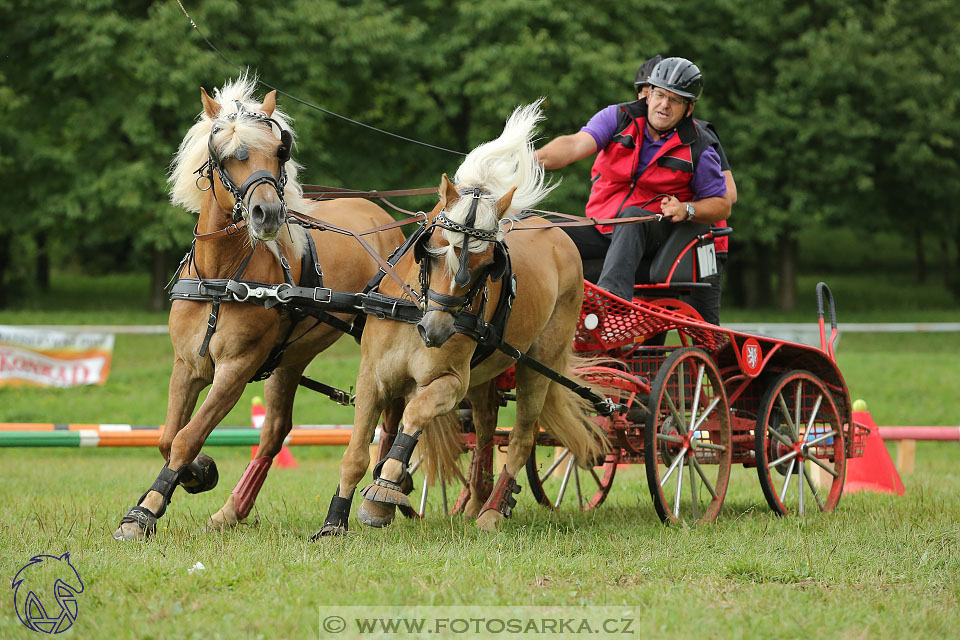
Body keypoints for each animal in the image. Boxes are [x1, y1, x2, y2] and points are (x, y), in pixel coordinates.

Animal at [114, 77, 404, 544]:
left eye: (279, 151)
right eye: (226, 155)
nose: (266, 213)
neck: (221, 276)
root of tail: (380, 214)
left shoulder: (236, 368)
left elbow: (187, 437)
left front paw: (144, 512)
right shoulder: (187, 365)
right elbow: (168, 438)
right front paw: (197, 474)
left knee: (393, 411)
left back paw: (384, 488)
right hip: (290, 358)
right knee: (274, 432)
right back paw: (231, 511)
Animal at [318, 104, 612, 536]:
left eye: (488, 265)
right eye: (433, 249)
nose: (437, 330)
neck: (416, 312)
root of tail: (560, 235)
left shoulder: (452, 382)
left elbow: (414, 415)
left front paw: (384, 491)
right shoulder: (373, 375)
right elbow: (357, 451)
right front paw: (335, 522)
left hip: (537, 365)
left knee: (521, 438)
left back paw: (492, 510)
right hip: (487, 375)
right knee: (487, 430)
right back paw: (476, 500)